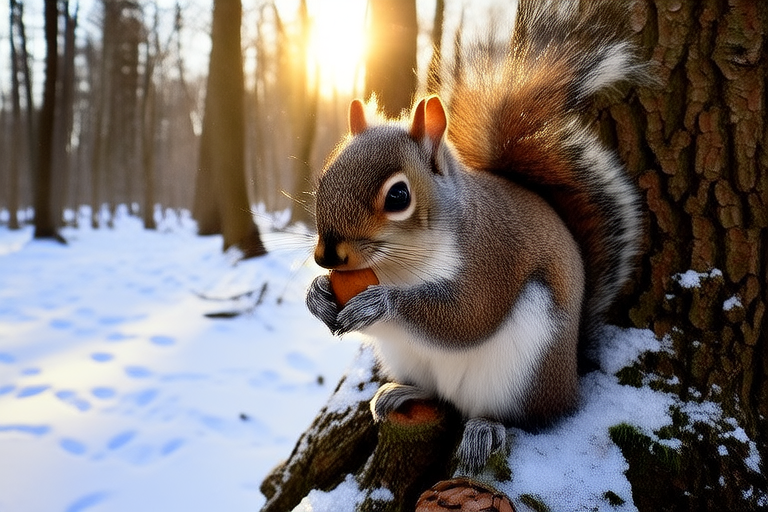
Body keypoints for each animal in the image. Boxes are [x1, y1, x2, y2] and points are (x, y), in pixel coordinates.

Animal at [306, 0, 643, 474]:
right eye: (324, 177)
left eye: (398, 196)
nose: (326, 257)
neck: (398, 266)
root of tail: (569, 382)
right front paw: (317, 294)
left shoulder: (492, 255)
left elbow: (469, 316)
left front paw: (380, 304)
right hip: (406, 357)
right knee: (437, 394)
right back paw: (401, 392)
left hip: (522, 370)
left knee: (519, 417)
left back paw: (487, 428)